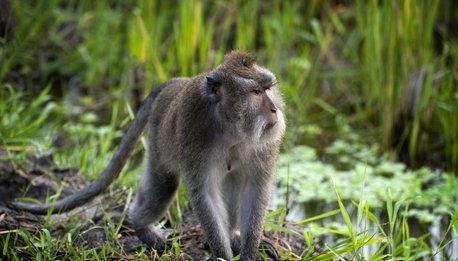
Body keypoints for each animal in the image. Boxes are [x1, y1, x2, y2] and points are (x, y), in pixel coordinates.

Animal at [10, 50, 284, 258]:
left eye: (268, 89)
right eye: (256, 93)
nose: (274, 110)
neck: (231, 127)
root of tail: (176, 82)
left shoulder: (264, 146)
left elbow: (255, 190)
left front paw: (248, 250)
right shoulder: (194, 134)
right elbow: (205, 194)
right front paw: (223, 255)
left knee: (233, 181)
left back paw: (235, 237)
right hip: (158, 142)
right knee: (164, 186)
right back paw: (140, 226)